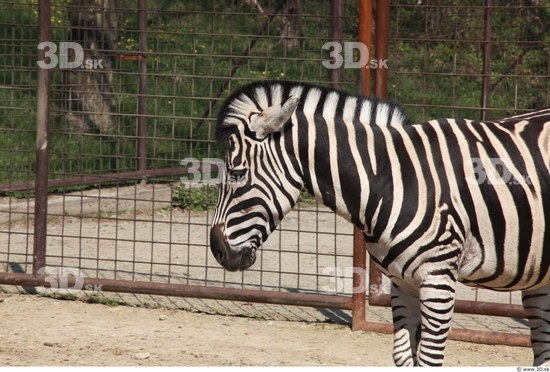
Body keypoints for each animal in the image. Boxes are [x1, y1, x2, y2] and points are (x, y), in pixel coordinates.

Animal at [210, 80, 550, 368]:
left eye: (237, 174)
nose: (217, 250)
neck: (393, 181)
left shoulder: (438, 278)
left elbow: (428, 360)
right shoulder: (402, 282)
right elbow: (403, 356)